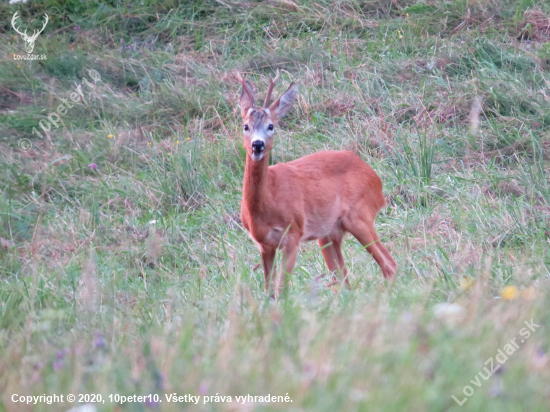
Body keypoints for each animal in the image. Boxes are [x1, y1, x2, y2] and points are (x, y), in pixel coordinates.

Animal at [239, 71, 398, 296]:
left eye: (271, 126)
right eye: (246, 126)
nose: (258, 145)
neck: (268, 200)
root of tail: (376, 180)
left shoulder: (294, 233)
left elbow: (282, 289)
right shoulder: (264, 244)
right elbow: (269, 292)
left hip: (359, 216)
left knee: (389, 265)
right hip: (329, 233)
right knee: (344, 280)